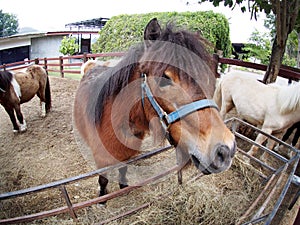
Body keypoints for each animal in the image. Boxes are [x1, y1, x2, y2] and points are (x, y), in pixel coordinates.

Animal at [73, 18, 237, 200]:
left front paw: (123, 186)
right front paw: (102, 197)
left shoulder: (127, 155)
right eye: (164, 79)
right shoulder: (101, 160)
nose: (226, 150)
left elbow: (123, 170)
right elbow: (103, 180)